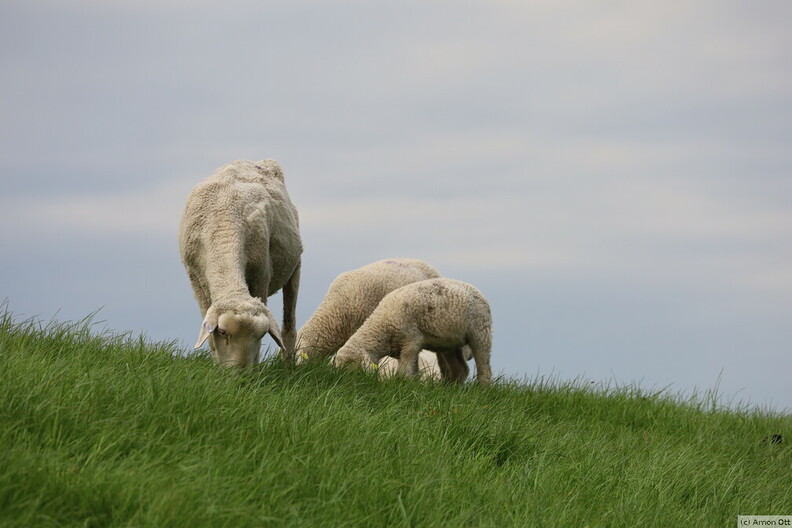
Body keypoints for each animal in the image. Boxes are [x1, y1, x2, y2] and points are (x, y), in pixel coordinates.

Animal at [179, 159, 304, 370]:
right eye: (222, 332)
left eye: (261, 335)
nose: (241, 374)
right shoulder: (195, 279)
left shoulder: (261, 275)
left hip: (295, 267)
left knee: (289, 324)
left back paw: (288, 365)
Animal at [334, 278, 496, 386]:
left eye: (350, 364)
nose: (344, 381)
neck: (382, 328)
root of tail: (476, 290)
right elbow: (412, 368)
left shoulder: (411, 341)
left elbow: (405, 370)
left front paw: (405, 384)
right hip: (450, 343)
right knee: (460, 369)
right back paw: (450, 388)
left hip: (480, 332)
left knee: (484, 367)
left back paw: (483, 389)